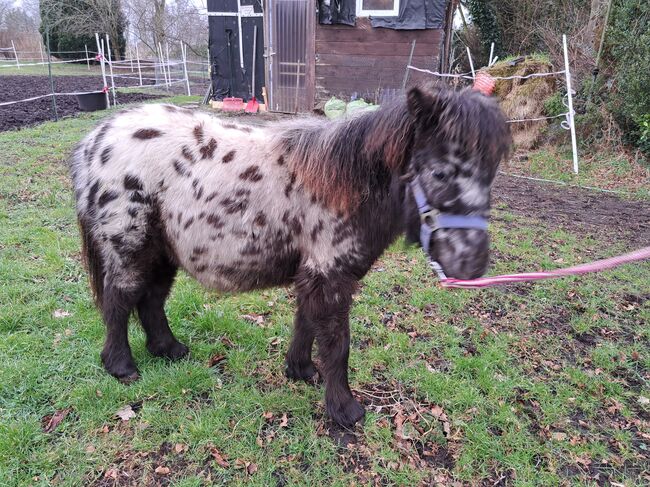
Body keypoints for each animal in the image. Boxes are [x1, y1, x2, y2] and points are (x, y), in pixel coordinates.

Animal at [68, 86, 508, 428]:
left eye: (491, 173)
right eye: (440, 173)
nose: (472, 265)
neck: (345, 183)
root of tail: (93, 143)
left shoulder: (313, 273)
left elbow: (306, 323)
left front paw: (300, 371)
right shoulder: (329, 274)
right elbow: (337, 342)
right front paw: (345, 410)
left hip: (162, 252)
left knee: (152, 300)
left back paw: (169, 349)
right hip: (130, 247)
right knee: (119, 300)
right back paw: (122, 366)